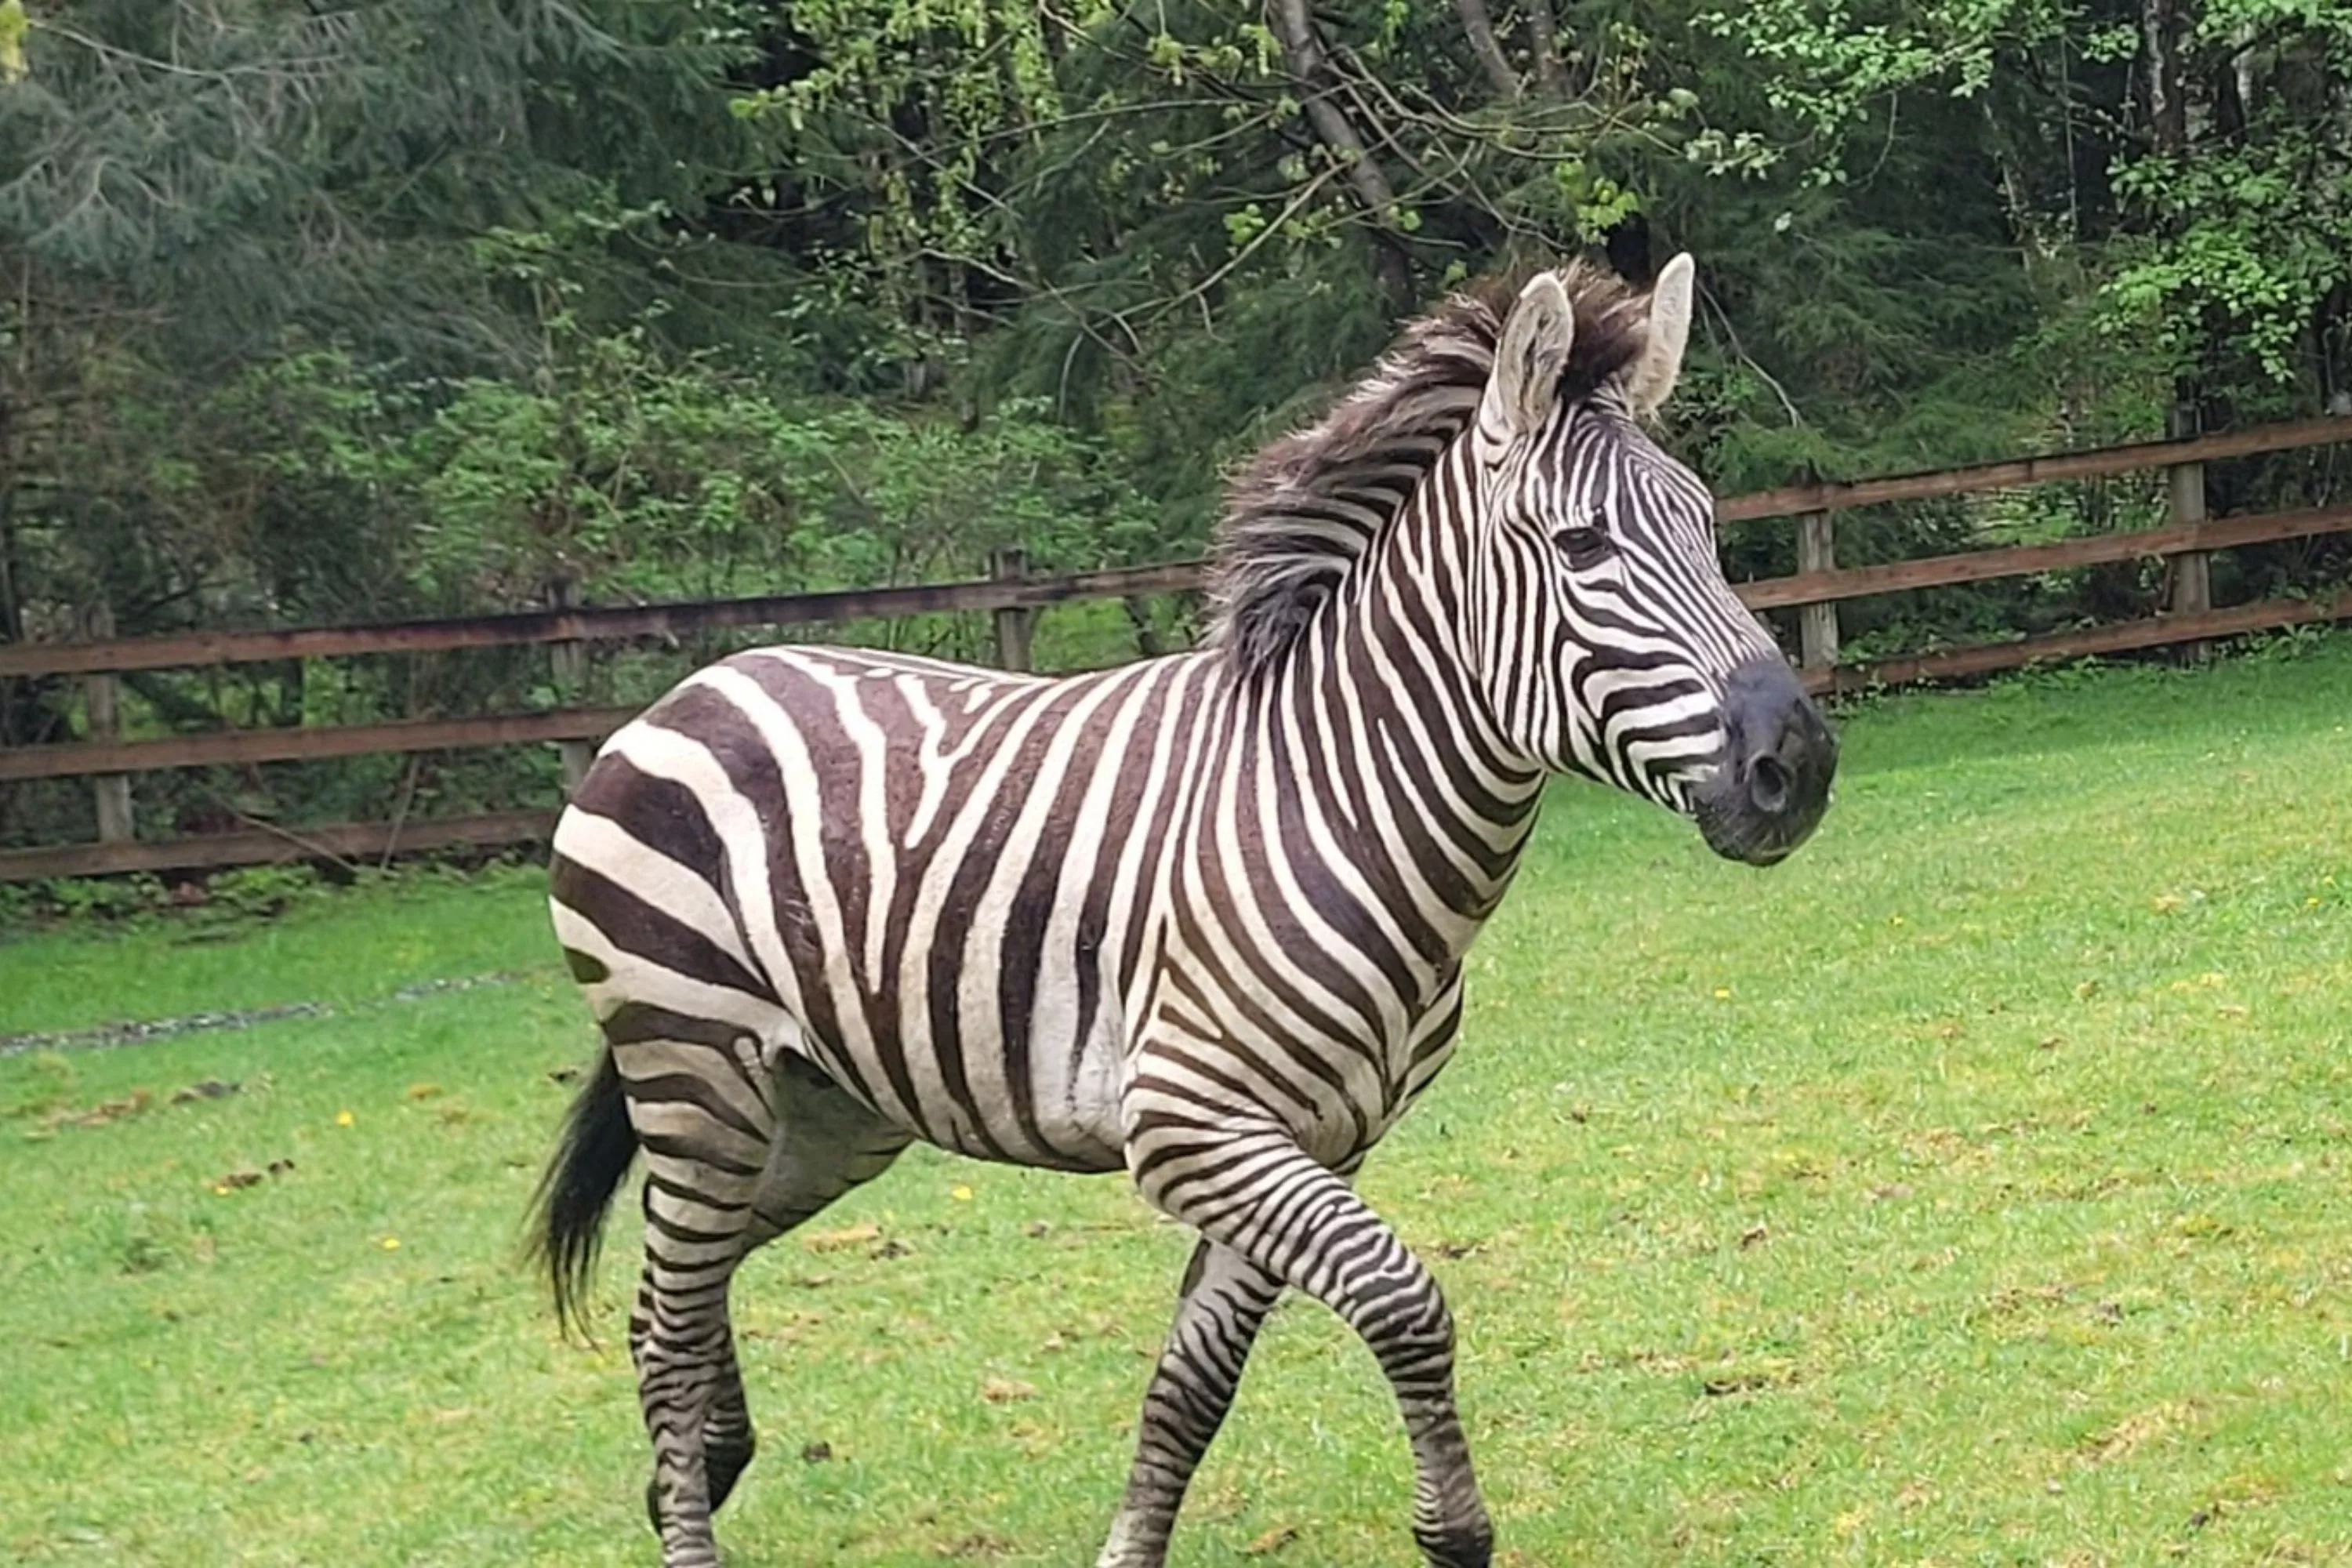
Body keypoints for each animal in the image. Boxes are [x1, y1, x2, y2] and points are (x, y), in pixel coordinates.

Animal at [531, 254, 1838, 1568]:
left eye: (1708, 529)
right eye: (1581, 546)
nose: (1802, 762)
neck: (1336, 803)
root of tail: (690, 689)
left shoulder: (1314, 1138)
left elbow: (1192, 1387)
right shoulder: (1191, 1124)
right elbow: (1403, 1297)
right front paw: (1456, 1530)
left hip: (824, 1109)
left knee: (675, 1288)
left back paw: (705, 1462)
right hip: (695, 1067)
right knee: (669, 1321)